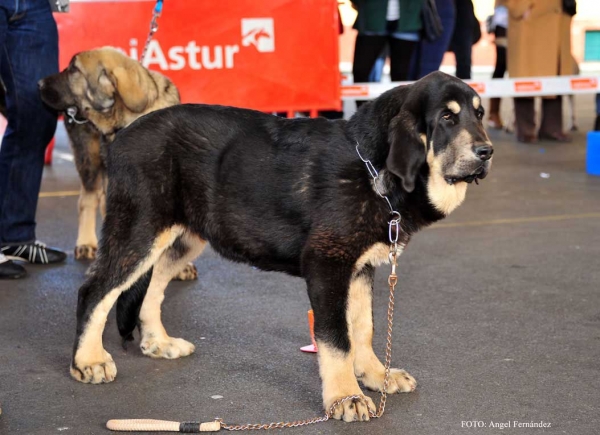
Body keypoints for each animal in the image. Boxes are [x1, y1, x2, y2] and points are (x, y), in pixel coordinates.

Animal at [36, 47, 195, 280]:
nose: (38, 83)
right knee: (88, 198)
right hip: (89, 159)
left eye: (74, 69)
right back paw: (86, 243)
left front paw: (181, 266)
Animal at [70, 71, 492, 422]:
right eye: (447, 118)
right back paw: (88, 360)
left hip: (181, 238)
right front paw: (345, 397)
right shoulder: (326, 265)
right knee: (96, 290)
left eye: (479, 114)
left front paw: (374, 375)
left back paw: (158, 342)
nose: (487, 151)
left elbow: (364, 328)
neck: (372, 165)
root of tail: (120, 137)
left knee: (152, 285)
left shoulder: (359, 266)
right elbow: (337, 339)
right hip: (139, 230)